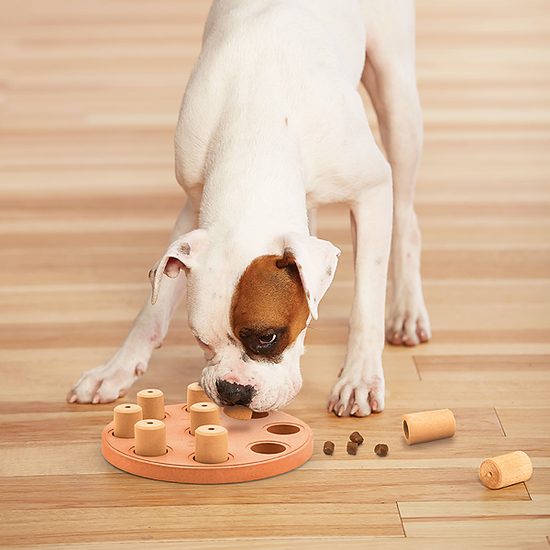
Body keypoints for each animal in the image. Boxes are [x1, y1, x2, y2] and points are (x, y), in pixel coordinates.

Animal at [68, 0, 432, 418]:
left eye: (267, 337)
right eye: (200, 339)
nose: (233, 391)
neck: (257, 132)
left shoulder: (371, 191)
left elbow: (366, 304)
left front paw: (358, 378)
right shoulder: (194, 208)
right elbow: (152, 312)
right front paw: (116, 369)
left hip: (397, 102)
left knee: (405, 219)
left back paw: (406, 312)